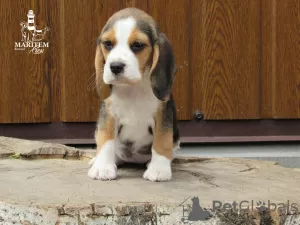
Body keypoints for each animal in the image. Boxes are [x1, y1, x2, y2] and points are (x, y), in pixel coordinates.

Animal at [88, 7, 179, 182]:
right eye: (107, 44)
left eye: (137, 45)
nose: (115, 66)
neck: (132, 88)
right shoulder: (108, 113)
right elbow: (106, 139)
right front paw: (102, 168)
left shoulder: (163, 114)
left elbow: (162, 140)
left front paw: (159, 170)